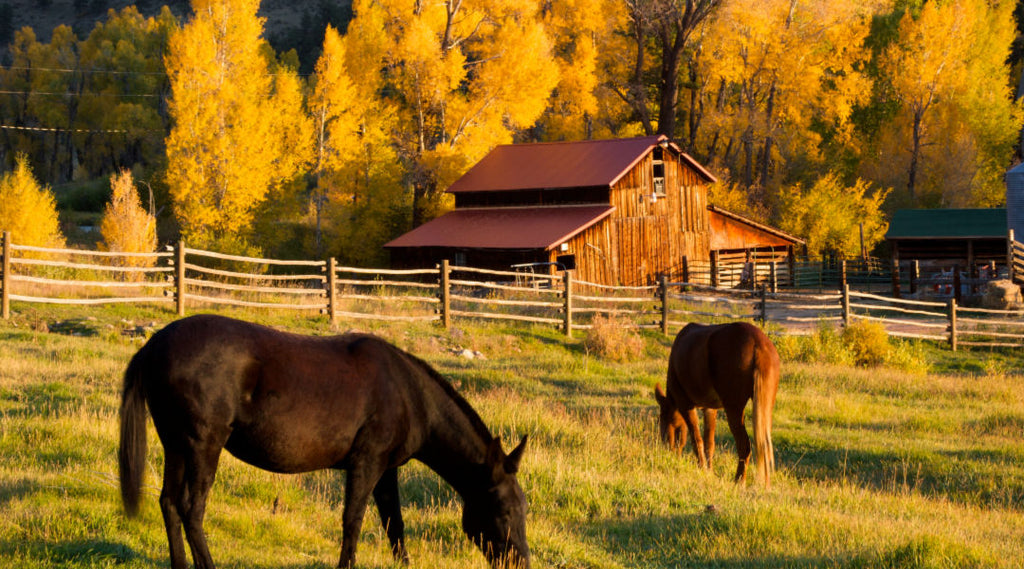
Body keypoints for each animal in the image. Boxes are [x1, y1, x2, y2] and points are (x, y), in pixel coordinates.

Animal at [121, 313, 528, 564]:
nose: (521, 562)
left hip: (176, 445)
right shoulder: (366, 463)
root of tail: (154, 345)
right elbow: (353, 521)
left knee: (169, 504)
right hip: (203, 446)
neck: (409, 394)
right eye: (505, 510)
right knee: (192, 510)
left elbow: (394, 524)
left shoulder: (386, 471)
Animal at [655, 321, 774, 487]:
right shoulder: (709, 409)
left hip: (734, 410)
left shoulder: (686, 405)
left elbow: (696, 439)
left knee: (744, 446)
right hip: (765, 408)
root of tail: (758, 343)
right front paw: (709, 470)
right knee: (765, 444)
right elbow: (709, 443)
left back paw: (739, 480)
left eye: (662, 421)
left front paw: (702, 468)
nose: (669, 453)